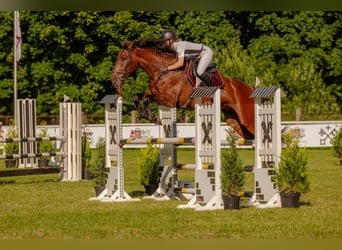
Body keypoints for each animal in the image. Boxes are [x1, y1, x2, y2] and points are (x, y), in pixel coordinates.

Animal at [111, 37, 255, 139]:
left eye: (123, 57)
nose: (114, 80)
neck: (163, 71)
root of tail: (250, 89)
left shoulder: (170, 101)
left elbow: (146, 99)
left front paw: (154, 118)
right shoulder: (154, 93)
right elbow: (138, 97)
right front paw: (150, 116)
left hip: (247, 120)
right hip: (234, 121)